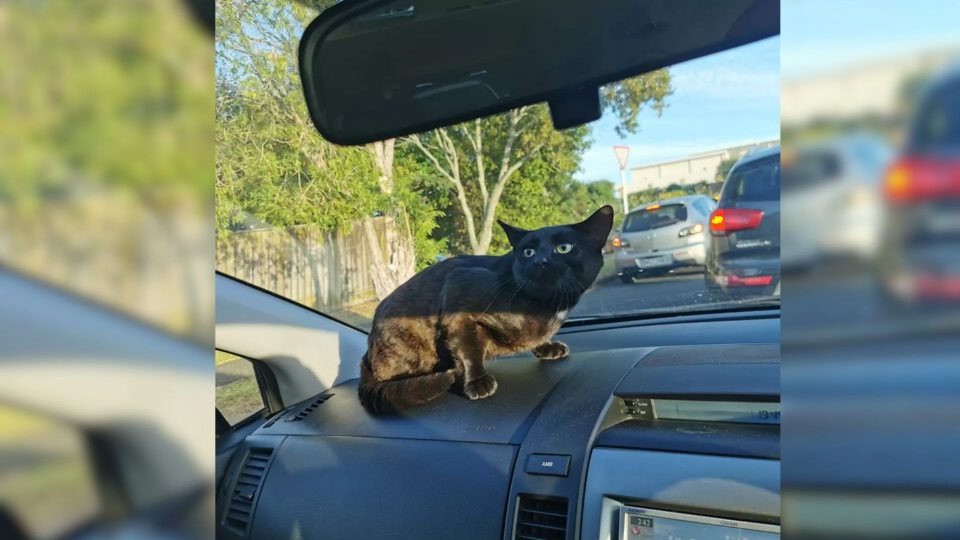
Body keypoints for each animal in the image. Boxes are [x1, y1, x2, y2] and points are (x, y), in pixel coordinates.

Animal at [360, 206, 616, 414]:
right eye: (528, 252)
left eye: (564, 248)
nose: (539, 261)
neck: (547, 305)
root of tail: (369, 349)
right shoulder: (458, 297)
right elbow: (469, 349)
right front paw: (477, 381)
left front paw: (548, 347)